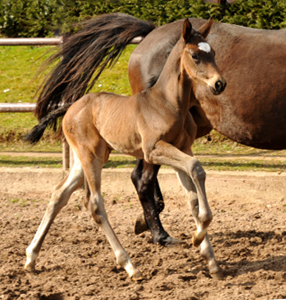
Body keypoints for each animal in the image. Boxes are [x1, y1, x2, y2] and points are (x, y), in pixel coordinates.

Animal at [24, 18, 226, 280]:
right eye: (195, 55)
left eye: (213, 53)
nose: (219, 83)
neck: (167, 102)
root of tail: (69, 107)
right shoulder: (153, 150)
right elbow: (196, 168)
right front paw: (199, 234)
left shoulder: (183, 148)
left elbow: (192, 196)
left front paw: (209, 258)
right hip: (91, 157)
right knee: (95, 204)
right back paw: (129, 265)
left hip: (89, 158)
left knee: (59, 194)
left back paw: (30, 258)